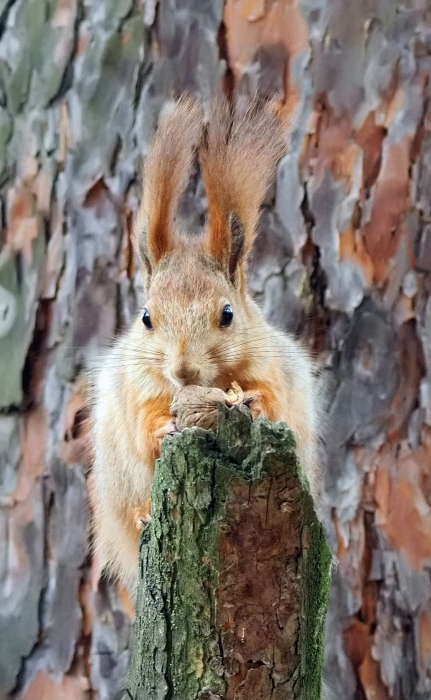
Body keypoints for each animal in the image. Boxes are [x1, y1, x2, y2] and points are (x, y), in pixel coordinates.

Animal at [90, 95, 320, 592]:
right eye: (146, 318)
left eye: (228, 315)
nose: (184, 370)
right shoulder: (136, 386)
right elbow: (143, 425)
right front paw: (164, 428)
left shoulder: (271, 367)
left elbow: (273, 398)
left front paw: (253, 403)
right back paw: (141, 516)